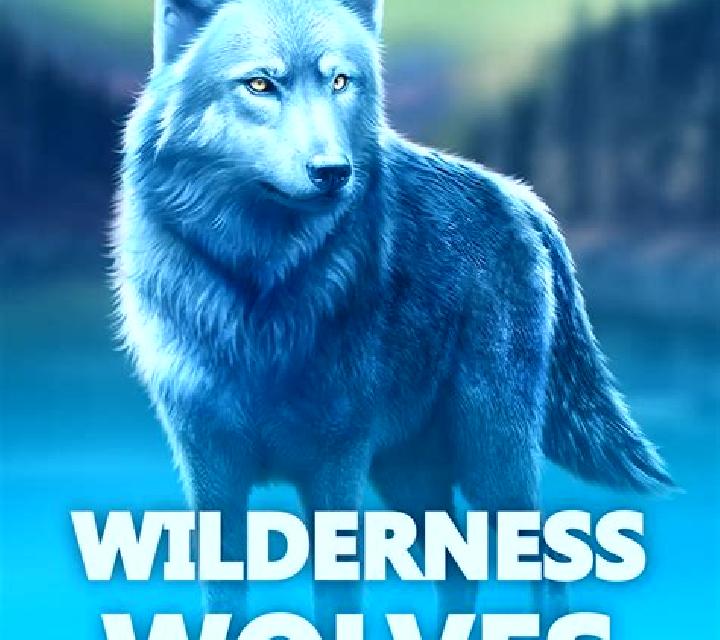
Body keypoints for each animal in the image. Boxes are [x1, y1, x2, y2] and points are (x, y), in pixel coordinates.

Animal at [113, 0, 674, 634]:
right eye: (260, 84)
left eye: (339, 81)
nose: (333, 171)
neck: (263, 289)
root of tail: (521, 198)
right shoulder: (211, 470)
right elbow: (225, 603)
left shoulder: (336, 464)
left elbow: (337, 604)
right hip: (408, 477)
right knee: (461, 573)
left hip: (489, 459)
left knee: (548, 565)